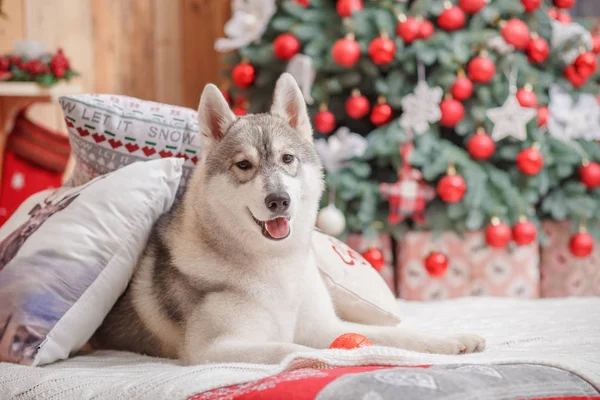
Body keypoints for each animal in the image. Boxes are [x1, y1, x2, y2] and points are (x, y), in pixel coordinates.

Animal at [95, 73, 488, 364]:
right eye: (244, 165)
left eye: (287, 159)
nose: (278, 200)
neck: (274, 268)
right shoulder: (214, 349)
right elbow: (296, 349)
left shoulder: (323, 326)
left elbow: (398, 334)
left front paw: (449, 340)